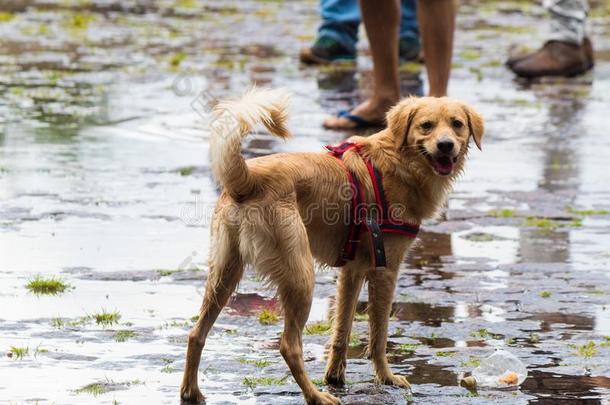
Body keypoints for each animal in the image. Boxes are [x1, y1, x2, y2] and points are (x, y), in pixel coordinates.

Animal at [178, 87, 482, 402]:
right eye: (426, 126)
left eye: (457, 124)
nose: (446, 145)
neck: (398, 161)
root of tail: (247, 179)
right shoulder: (385, 271)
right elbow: (379, 336)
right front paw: (385, 378)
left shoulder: (352, 272)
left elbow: (342, 331)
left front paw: (335, 376)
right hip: (300, 278)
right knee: (289, 346)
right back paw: (316, 396)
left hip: (225, 274)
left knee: (196, 334)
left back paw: (190, 391)